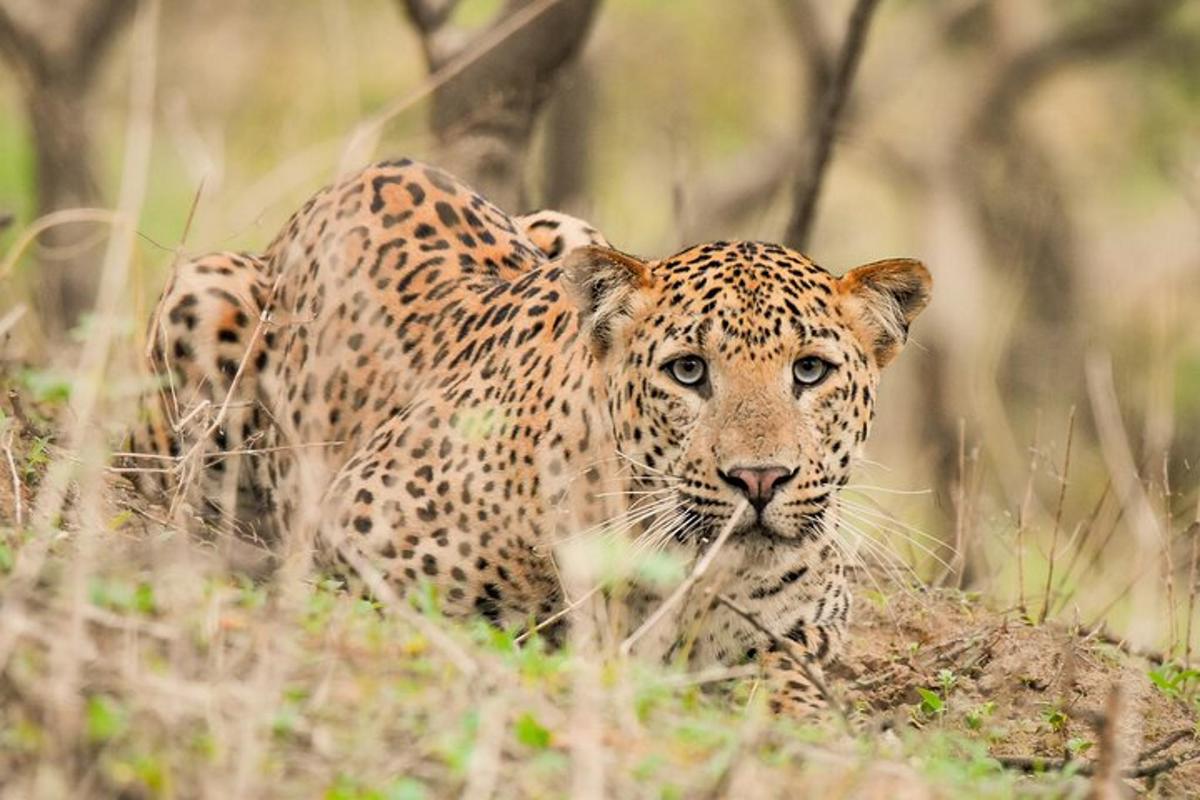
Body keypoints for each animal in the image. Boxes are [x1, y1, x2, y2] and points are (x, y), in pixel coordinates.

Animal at [131, 158, 931, 714]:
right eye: (688, 371)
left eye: (810, 370)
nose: (759, 480)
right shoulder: (360, 531)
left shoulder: (808, 621)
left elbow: (788, 673)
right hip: (202, 300)